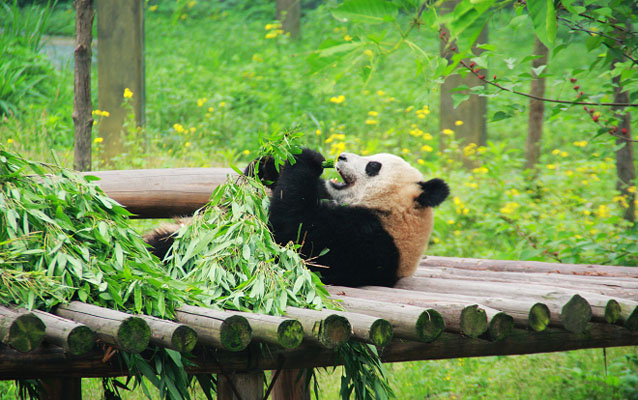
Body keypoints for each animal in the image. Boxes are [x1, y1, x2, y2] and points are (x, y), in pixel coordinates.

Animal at [148, 148, 452, 286]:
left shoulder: (366, 241)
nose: (340, 156)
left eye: (373, 166)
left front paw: (308, 157)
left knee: (167, 247)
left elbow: (295, 230)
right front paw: (269, 161)